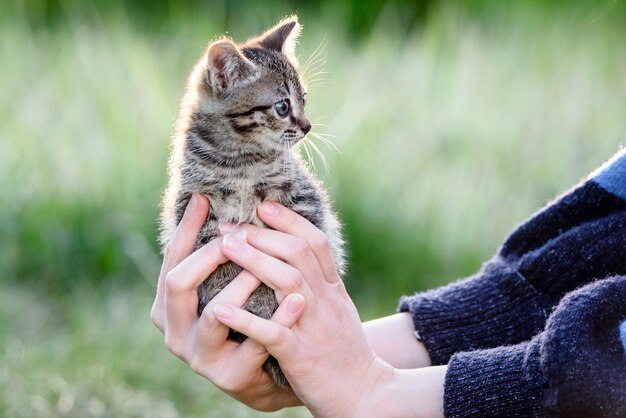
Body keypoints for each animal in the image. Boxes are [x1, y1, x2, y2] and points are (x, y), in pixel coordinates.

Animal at [158, 17, 344, 388]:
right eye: (283, 106)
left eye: (304, 99)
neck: (239, 160)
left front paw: (263, 304)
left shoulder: (302, 202)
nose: (307, 126)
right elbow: (220, 263)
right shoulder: (194, 207)